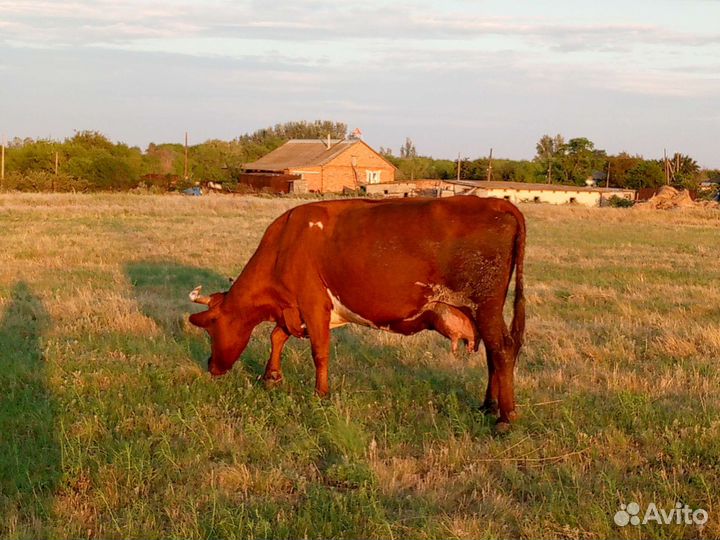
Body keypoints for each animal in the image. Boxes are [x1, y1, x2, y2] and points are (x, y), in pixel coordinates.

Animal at [189, 196, 526, 428]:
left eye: (211, 325)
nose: (210, 365)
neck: (285, 243)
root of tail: (498, 203)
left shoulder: (314, 304)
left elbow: (319, 351)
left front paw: (320, 393)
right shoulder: (294, 307)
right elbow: (277, 336)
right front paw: (271, 376)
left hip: (485, 306)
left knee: (502, 350)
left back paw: (505, 416)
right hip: (482, 311)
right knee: (494, 354)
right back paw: (488, 406)